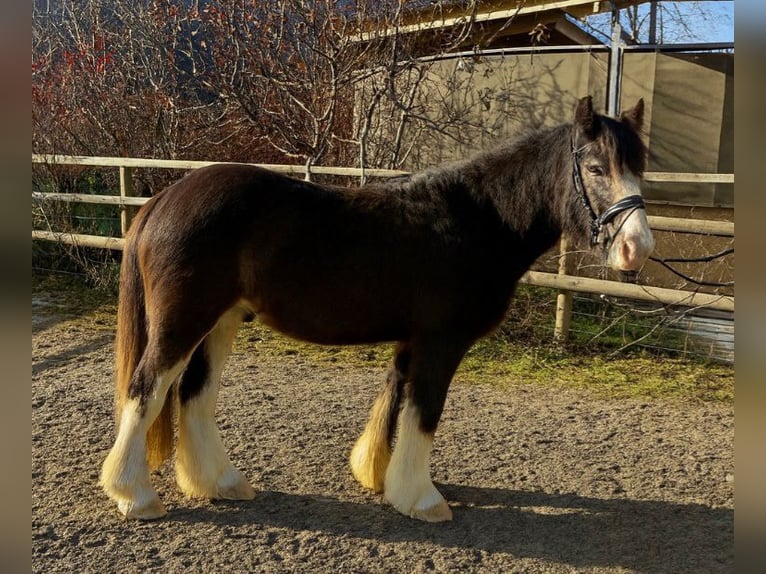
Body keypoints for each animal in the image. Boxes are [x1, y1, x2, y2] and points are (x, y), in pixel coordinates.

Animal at [100, 96, 654, 522]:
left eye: (639, 169)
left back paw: (219, 482)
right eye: (596, 168)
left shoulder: (412, 340)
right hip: (183, 323)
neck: (480, 220)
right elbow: (424, 412)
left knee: (195, 394)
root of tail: (165, 198)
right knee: (147, 390)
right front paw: (422, 500)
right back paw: (136, 496)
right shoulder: (440, 343)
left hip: (221, 321)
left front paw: (377, 474)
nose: (637, 248)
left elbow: (395, 400)